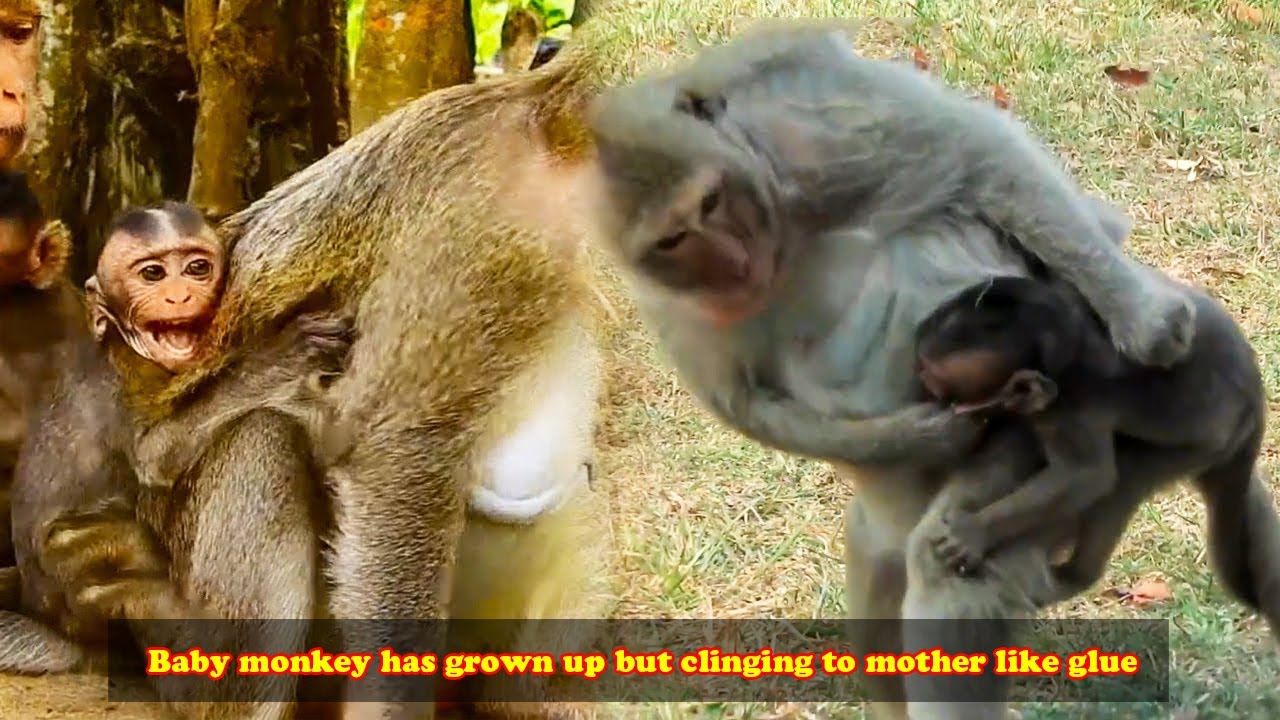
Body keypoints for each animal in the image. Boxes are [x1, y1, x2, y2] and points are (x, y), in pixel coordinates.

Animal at [585, 21, 1199, 720]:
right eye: (671, 239)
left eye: (711, 202)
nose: (730, 261)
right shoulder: (670, 304)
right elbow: (742, 402)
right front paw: (924, 433)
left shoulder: (806, 131)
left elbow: (970, 148)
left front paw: (1144, 318)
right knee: (876, 579)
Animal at [908, 275, 1280, 637]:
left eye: (933, 375)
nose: (922, 378)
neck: (1073, 351)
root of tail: (1255, 411)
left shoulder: (1070, 410)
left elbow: (1086, 476)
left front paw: (975, 531)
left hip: (1208, 444)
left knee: (1124, 479)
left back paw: (1075, 576)